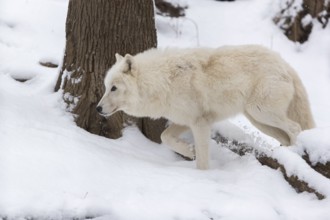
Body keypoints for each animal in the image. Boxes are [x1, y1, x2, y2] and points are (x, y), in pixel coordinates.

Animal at [96, 44, 314, 168]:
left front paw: (203, 177)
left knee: (296, 128)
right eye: (106, 87)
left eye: (114, 88)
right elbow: (165, 137)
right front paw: (187, 151)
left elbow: (202, 160)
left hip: (260, 112)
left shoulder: (200, 123)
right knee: (286, 136)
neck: (163, 81)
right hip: (259, 121)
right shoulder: (185, 120)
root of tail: (285, 64)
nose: (97, 109)